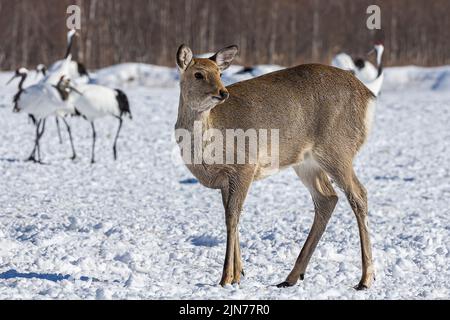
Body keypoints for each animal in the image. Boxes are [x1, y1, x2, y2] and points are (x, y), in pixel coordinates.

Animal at [174, 43, 378, 290]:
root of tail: (369, 96)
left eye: (219, 73)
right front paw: (239, 274)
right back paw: (291, 277)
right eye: (198, 74)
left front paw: (226, 278)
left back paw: (365, 279)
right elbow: (231, 215)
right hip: (307, 162)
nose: (223, 93)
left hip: (337, 149)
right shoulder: (225, 180)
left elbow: (232, 216)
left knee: (358, 194)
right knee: (327, 198)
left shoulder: (245, 165)